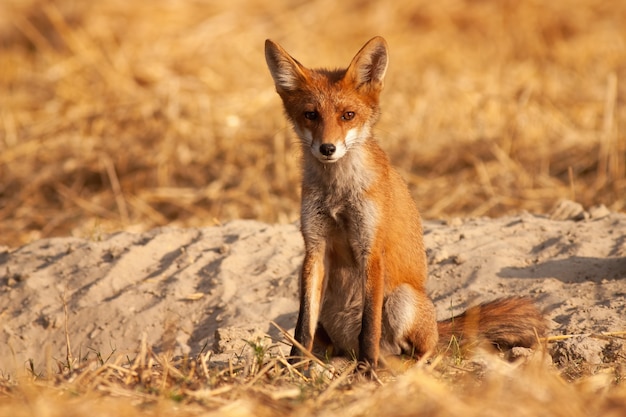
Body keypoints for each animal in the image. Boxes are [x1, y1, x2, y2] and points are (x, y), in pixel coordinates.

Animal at [262, 36, 540, 368]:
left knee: (424, 352)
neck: (338, 194)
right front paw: (294, 366)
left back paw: (390, 366)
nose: (327, 148)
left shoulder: (371, 247)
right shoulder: (314, 247)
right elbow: (302, 325)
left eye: (348, 115)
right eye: (311, 115)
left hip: (402, 298)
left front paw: (366, 371)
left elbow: (369, 325)